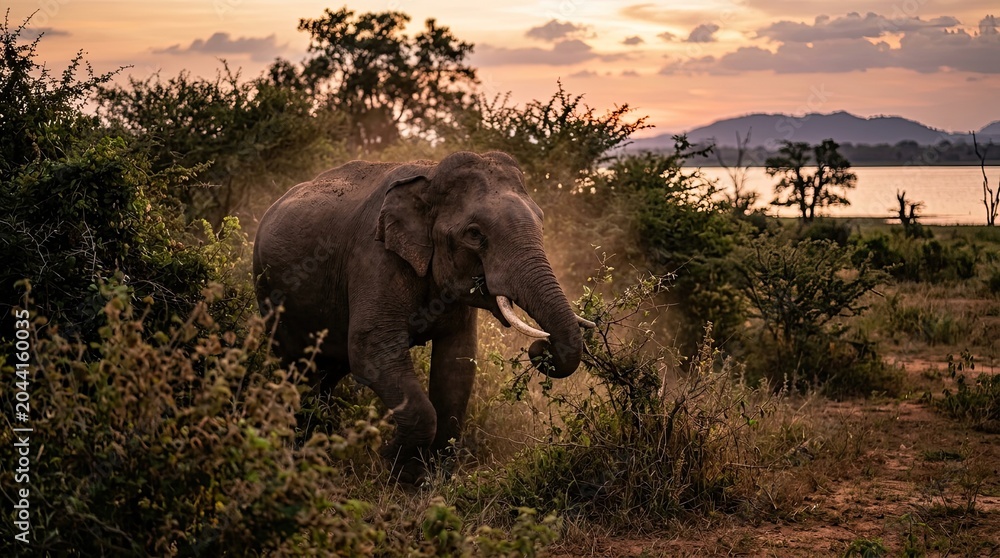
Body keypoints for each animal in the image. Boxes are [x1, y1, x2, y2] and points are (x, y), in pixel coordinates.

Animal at [253, 150, 594, 482]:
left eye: (541, 222)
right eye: (474, 234)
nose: (541, 350)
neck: (429, 179)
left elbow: (457, 363)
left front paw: (429, 479)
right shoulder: (374, 257)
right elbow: (371, 351)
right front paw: (392, 464)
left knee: (325, 372)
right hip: (268, 291)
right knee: (296, 368)